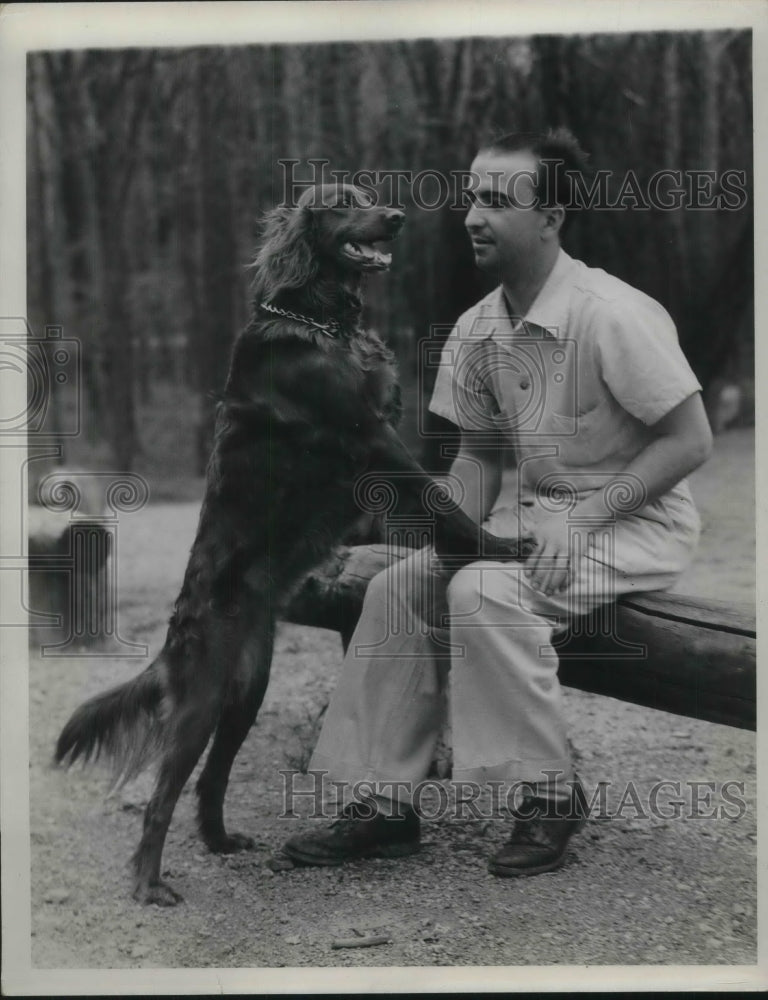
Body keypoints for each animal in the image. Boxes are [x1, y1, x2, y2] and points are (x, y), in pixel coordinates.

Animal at [55, 182, 536, 908]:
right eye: (339, 204)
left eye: (369, 195)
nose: (396, 217)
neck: (318, 320)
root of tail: (175, 639)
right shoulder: (372, 435)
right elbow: (443, 503)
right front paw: (503, 546)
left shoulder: (379, 440)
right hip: (200, 701)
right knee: (162, 796)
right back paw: (148, 883)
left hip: (246, 691)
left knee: (211, 778)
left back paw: (221, 839)